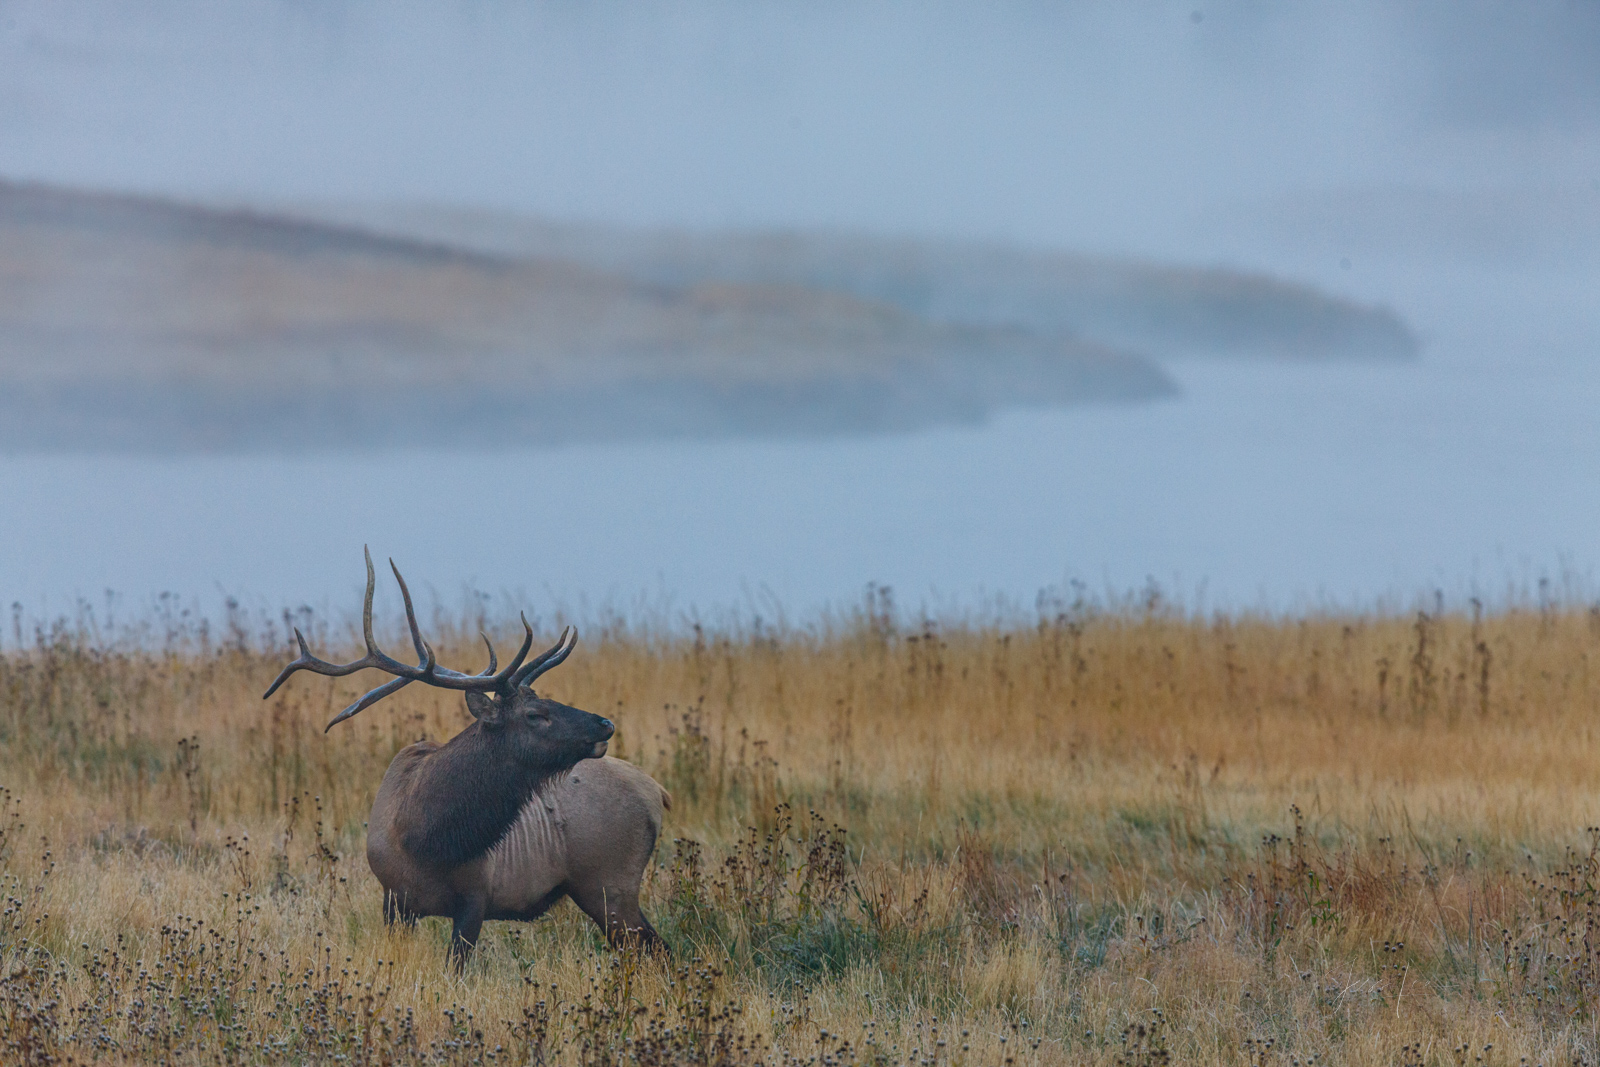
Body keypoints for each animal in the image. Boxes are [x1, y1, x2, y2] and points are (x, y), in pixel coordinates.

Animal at [265, 550, 665, 966]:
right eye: (535, 713)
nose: (605, 723)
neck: (426, 840)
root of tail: (658, 792)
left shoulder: (478, 895)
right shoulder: (394, 898)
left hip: (610, 882)